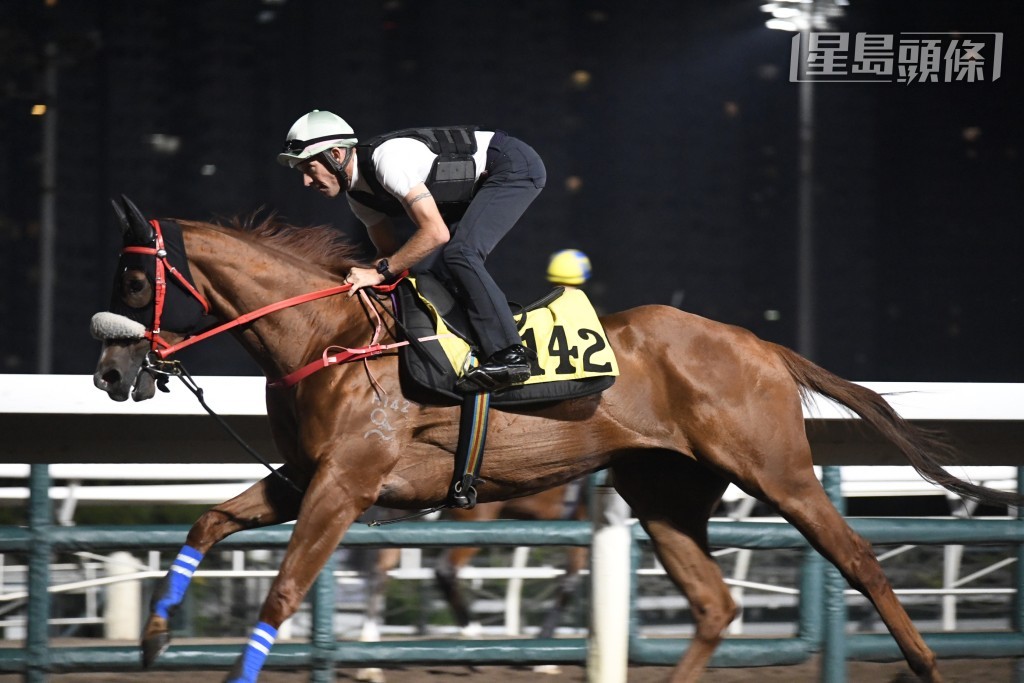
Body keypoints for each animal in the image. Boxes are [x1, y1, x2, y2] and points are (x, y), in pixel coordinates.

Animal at [92, 194, 1019, 679]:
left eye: (134, 280)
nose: (108, 372)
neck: (330, 337)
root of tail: (759, 344)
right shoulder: (303, 470)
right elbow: (207, 520)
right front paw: (155, 634)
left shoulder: (345, 482)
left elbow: (283, 591)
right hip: (663, 492)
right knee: (715, 603)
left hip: (777, 471)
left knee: (859, 559)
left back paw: (926, 665)